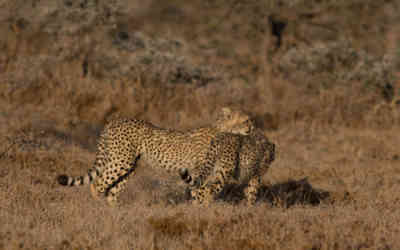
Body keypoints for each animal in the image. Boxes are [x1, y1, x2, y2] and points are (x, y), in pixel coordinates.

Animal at [57, 106, 253, 206]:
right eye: (246, 120)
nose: (252, 127)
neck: (223, 131)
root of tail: (113, 121)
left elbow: (201, 192)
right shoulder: (199, 171)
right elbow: (200, 192)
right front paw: (201, 209)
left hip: (129, 166)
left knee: (112, 191)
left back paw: (116, 213)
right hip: (121, 160)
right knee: (97, 183)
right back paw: (98, 206)